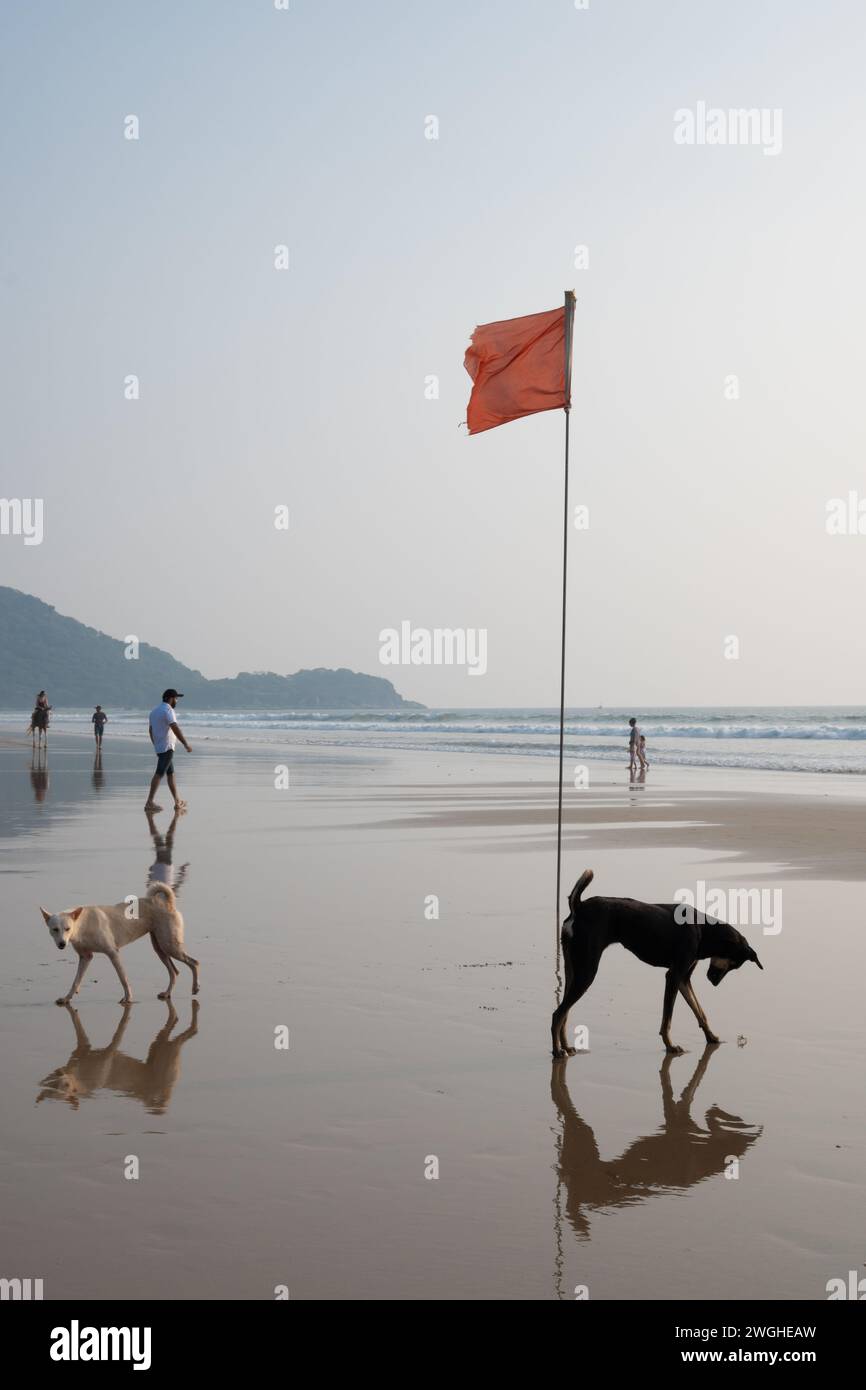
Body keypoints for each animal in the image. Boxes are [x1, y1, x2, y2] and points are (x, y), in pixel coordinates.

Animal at [40, 884, 200, 1006]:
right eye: (55, 929)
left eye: (67, 929)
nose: (62, 944)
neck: (82, 925)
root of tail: (168, 903)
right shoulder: (86, 957)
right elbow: (75, 982)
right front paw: (67, 998)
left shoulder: (113, 952)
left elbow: (123, 978)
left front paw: (128, 999)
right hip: (160, 947)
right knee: (174, 972)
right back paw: (167, 993)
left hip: (169, 945)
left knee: (194, 962)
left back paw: (195, 988)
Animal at [553, 872, 761, 1056]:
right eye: (732, 963)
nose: (714, 983)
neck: (703, 930)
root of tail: (579, 907)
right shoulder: (674, 976)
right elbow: (667, 1020)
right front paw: (670, 1046)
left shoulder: (683, 979)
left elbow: (699, 1011)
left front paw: (711, 1037)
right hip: (587, 971)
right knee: (558, 1014)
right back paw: (557, 1051)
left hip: (573, 969)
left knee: (565, 1013)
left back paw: (566, 1047)